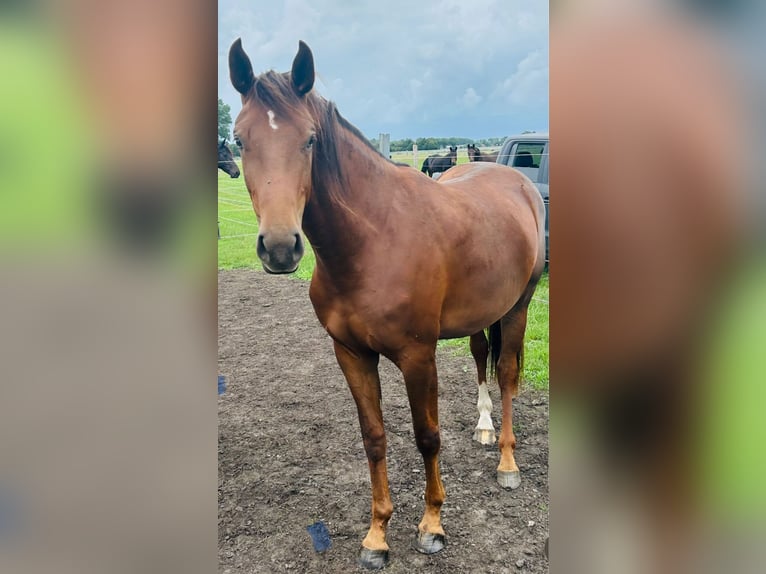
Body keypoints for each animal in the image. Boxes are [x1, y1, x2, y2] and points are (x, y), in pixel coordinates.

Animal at [228, 39, 544, 572]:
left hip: (518, 306)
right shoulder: (352, 354)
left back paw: (506, 462)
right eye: (239, 139)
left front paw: (432, 526)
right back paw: (483, 429)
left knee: (505, 373)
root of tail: (514, 180)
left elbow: (426, 435)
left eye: (309, 140)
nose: (280, 247)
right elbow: (374, 437)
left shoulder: (418, 356)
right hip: (482, 313)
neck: (373, 241)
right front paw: (376, 536)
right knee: (482, 356)